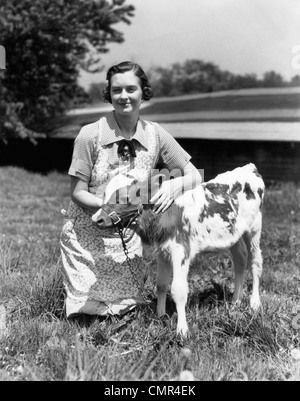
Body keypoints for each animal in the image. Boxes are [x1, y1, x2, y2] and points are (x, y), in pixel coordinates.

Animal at [92, 162, 264, 334]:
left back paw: (254, 303)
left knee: (255, 263)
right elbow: (161, 285)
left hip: (254, 229)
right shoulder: (162, 253)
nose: (97, 219)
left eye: (125, 198)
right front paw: (160, 316)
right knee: (240, 261)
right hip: (234, 235)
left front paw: (182, 330)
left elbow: (178, 290)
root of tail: (249, 168)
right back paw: (235, 302)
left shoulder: (181, 251)